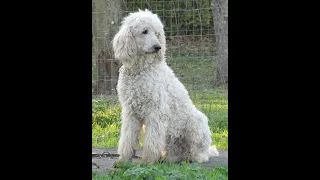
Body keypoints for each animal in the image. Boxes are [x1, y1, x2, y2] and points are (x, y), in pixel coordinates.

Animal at [112, 9, 220, 164]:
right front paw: (124, 159)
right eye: (145, 31)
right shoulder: (130, 111)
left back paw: (194, 157)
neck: (141, 70)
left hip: (197, 122)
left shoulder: (156, 111)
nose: (158, 47)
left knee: (200, 154)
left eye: (157, 33)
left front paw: (148, 161)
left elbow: (152, 140)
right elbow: (127, 137)